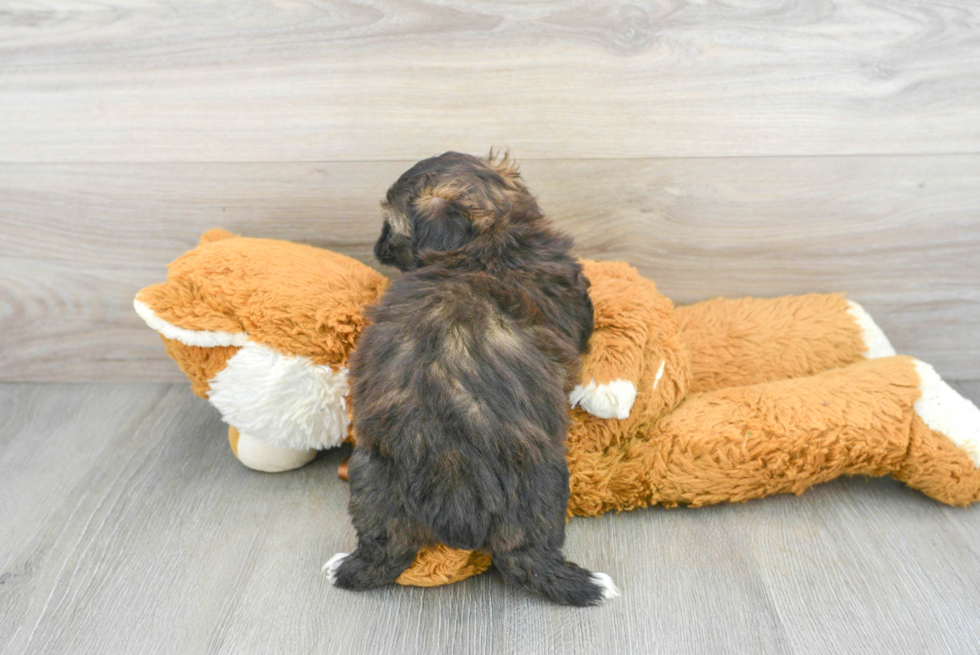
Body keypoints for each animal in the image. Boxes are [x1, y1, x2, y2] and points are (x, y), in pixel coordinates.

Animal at [330, 151, 620, 608]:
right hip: (544, 482)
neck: (490, 238)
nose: (376, 248)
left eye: (390, 226)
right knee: (528, 556)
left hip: (371, 472)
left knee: (383, 548)